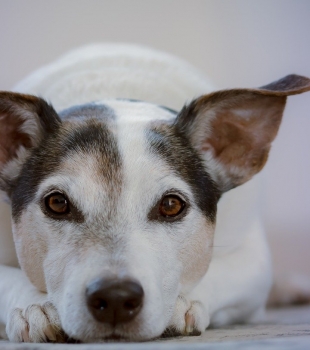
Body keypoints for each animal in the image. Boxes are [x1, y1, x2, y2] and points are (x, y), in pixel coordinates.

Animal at [0, 43, 308, 342]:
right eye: (57, 202)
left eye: (171, 205)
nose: (115, 298)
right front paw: (35, 306)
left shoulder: (253, 261)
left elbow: (218, 273)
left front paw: (183, 304)